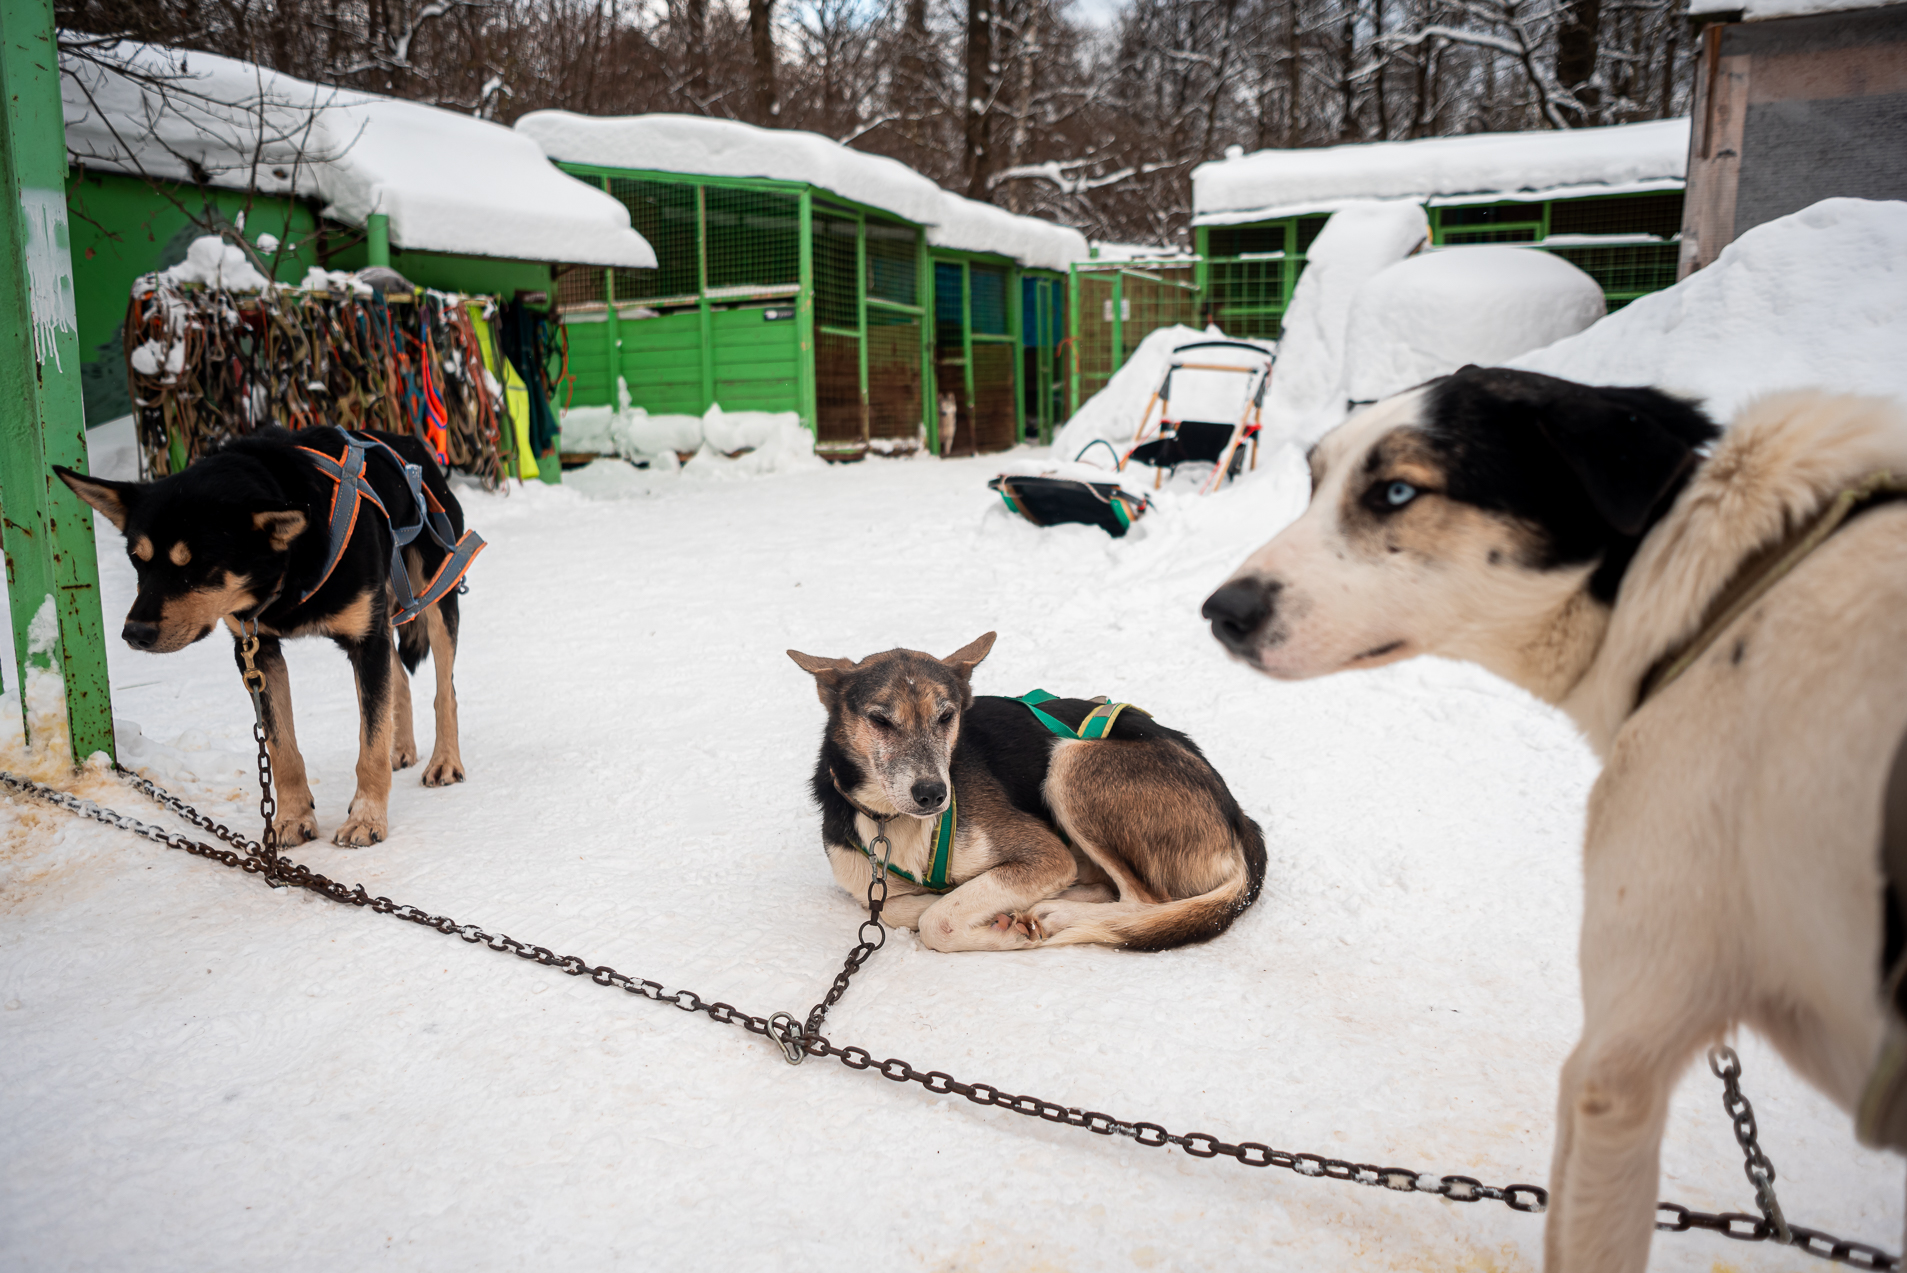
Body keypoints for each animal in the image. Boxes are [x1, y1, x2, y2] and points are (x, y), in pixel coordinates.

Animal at [60, 424, 480, 846]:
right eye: (138, 560)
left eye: (198, 566)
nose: (134, 633)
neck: (291, 569)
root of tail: (410, 442)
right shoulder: (256, 651)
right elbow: (281, 750)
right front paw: (293, 818)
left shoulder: (366, 641)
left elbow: (370, 743)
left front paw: (366, 817)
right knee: (400, 679)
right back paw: (402, 747)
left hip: (434, 598)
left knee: (445, 691)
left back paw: (445, 760)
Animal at [789, 632, 1266, 949]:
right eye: (880, 720)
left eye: (946, 716)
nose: (933, 794)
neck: (896, 823)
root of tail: (1239, 818)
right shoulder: (870, 885)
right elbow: (894, 907)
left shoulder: (1045, 854)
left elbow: (937, 920)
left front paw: (1003, 929)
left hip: (1071, 763)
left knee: (1144, 900)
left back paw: (1060, 911)